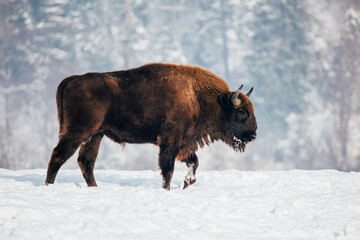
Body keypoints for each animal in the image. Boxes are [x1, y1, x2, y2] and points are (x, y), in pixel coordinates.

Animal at [45, 63, 258, 189]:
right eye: (241, 113)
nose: (253, 135)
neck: (197, 97)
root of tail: (71, 80)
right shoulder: (170, 142)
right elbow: (167, 169)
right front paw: (168, 189)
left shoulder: (183, 144)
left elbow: (193, 162)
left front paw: (187, 183)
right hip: (78, 132)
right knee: (58, 155)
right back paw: (48, 186)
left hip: (95, 135)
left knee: (86, 161)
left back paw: (94, 188)